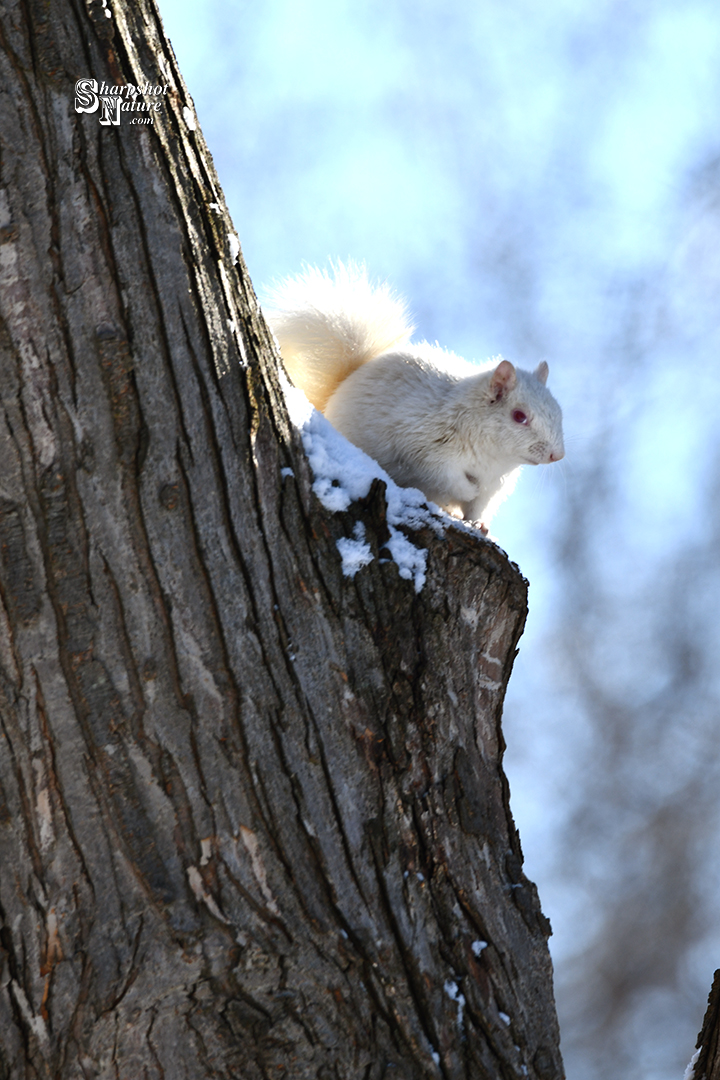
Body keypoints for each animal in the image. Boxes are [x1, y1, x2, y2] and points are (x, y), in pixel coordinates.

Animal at [264, 263, 561, 529]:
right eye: (519, 416)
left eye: (559, 412)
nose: (557, 456)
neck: (492, 456)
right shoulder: (426, 449)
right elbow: (449, 480)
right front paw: (467, 491)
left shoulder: (496, 483)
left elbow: (479, 505)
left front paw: (478, 524)